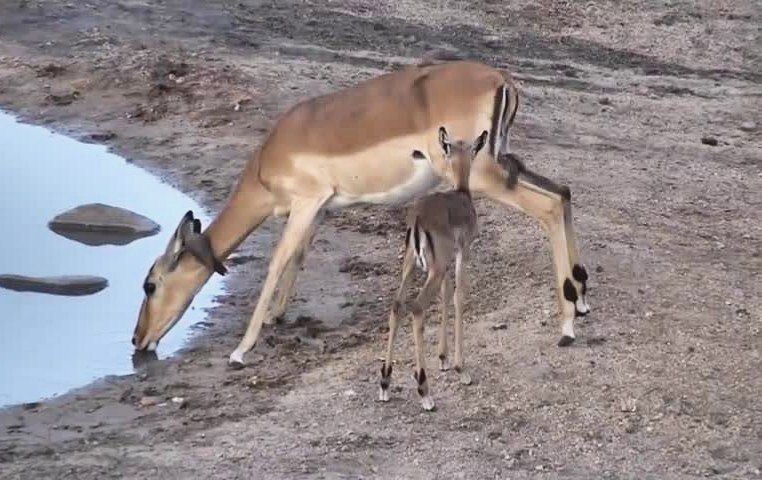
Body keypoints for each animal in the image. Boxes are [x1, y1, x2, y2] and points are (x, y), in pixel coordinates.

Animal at [376, 125, 486, 410]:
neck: (462, 196)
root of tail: (417, 220)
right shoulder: (462, 252)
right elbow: (458, 296)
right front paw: (460, 368)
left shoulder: (444, 265)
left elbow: (446, 296)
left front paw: (444, 359)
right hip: (431, 270)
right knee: (416, 307)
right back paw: (424, 390)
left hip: (412, 265)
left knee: (396, 305)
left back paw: (385, 383)